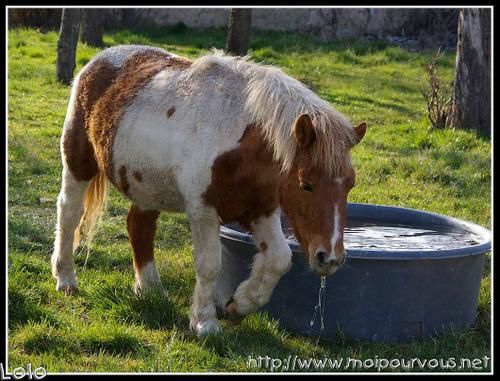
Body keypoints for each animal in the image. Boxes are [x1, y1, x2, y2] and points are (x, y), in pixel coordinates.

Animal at [51, 45, 368, 336]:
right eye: (306, 184)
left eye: (350, 184)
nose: (330, 258)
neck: (237, 140)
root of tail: (100, 59)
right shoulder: (204, 211)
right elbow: (210, 265)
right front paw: (204, 322)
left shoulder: (261, 209)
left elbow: (279, 259)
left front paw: (239, 305)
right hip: (78, 163)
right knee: (69, 214)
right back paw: (66, 278)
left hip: (147, 186)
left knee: (139, 226)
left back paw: (150, 290)